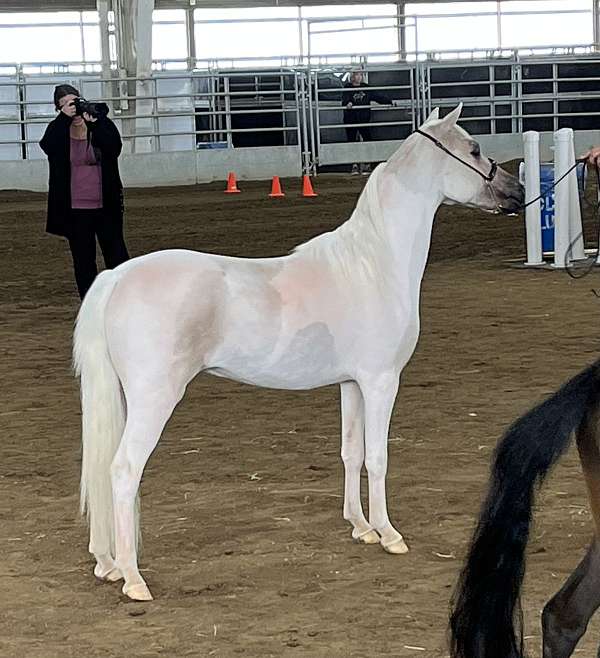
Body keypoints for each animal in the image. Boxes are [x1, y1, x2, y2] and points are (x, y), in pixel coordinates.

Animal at [76, 104, 524, 600]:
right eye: (475, 149)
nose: (518, 193)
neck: (374, 264)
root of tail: (116, 276)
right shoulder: (381, 381)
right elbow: (378, 458)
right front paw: (389, 534)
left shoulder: (352, 383)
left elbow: (351, 452)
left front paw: (362, 527)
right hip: (154, 398)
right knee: (123, 470)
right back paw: (133, 578)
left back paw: (106, 564)